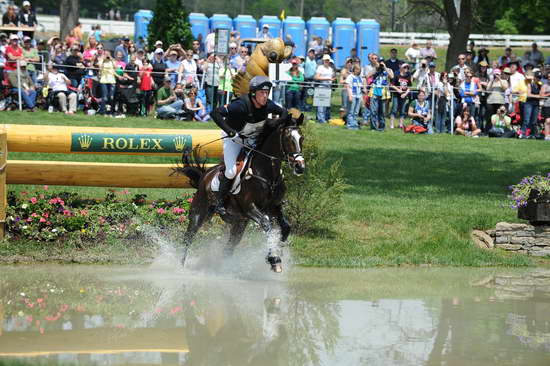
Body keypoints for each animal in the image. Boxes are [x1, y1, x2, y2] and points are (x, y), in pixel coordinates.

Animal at [180, 110, 306, 274]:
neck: (267, 173)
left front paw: (278, 252)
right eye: (289, 139)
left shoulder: (274, 207)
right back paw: (180, 267)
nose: (300, 167)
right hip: (199, 213)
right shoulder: (250, 208)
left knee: (229, 247)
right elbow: (267, 225)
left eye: (302, 138)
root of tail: (204, 176)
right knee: (188, 237)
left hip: (239, 223)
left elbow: (286, 227)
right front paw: (274, 259)